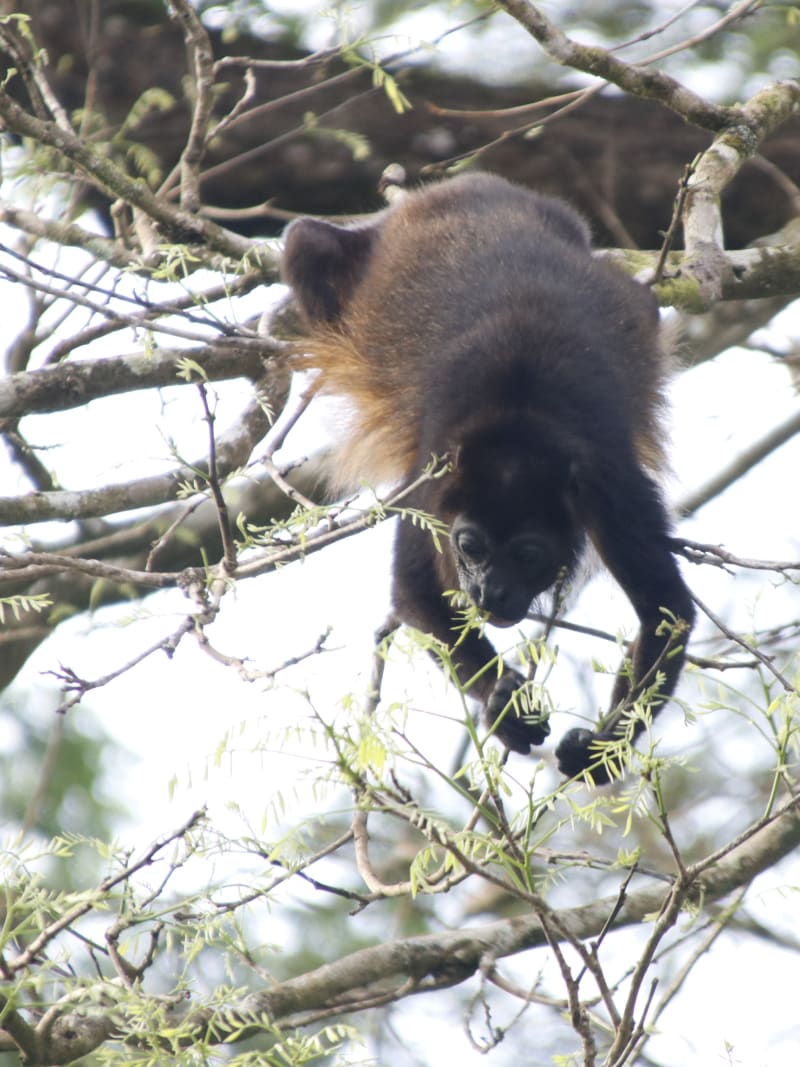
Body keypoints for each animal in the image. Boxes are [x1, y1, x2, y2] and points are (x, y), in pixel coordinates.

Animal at [281, 172, 695, 783]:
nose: (486, 590)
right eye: (470, 547)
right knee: (304, 242)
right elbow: (416, 589)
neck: (516, 436)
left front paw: (601, 749)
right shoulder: (432, 477)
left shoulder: (610, 485)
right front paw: (503, 704)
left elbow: (666, 612)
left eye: (526, 554)